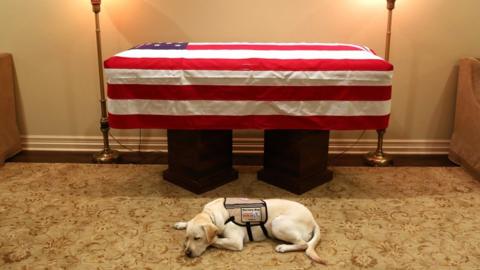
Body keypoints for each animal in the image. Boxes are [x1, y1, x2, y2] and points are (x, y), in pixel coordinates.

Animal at [173, 198, 326, 264]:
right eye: (187, 237)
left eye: (198, 238)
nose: (187, 253)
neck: (212, 213)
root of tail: (313, 220)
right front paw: (181, 224)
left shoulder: (235, 242)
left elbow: (215, 240)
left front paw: (212, 239)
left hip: (277, 224)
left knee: (304, 244)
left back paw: (283, 247)